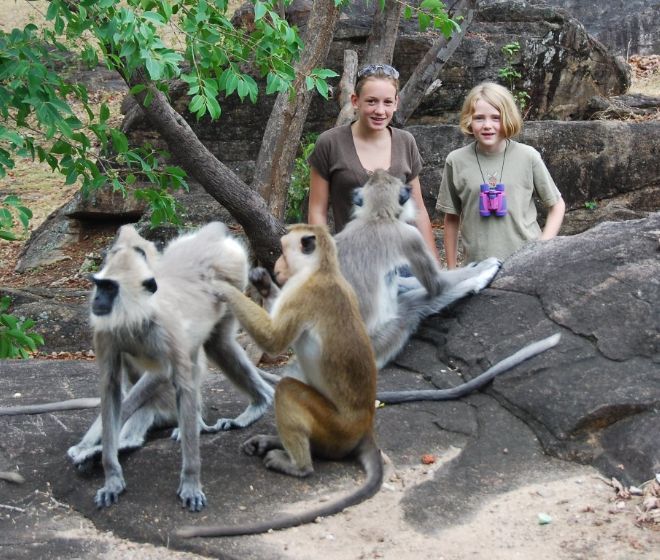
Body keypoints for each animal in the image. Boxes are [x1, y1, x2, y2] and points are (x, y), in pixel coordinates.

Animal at [78, 222, 274, 512]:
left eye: (110, 289)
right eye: (99, 285)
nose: (97, 299)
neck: (138, 314)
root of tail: (209, 236)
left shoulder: (168, 330)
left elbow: (177, 383)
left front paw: (191, 482)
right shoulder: (106, 331)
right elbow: (111, 390)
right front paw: (110, 475)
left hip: (232, 275)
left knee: (212, 349)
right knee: (217, 345)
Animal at [175, 224, 384, 540]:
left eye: (284, 252)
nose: (276, 267)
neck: (320, 269)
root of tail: (365, 426)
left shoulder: (302, 294)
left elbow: (274, 340)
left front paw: (222, 286)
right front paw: (262, 283)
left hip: (337, 428)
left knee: (286, 389)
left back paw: (298, 466)